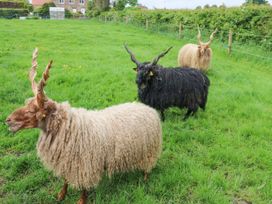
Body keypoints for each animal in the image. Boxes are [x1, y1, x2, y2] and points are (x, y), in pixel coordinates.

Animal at [5, 49, 162, 204]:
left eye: (32, 111)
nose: (7, 120)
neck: (69, 126)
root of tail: (148, 109)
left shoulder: (85, 166)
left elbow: (83, 188)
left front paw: (81, 200)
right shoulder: (68, 161)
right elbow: (65, 181)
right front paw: (61, 195)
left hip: (149, 150)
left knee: (148, 166)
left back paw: (145, 179)